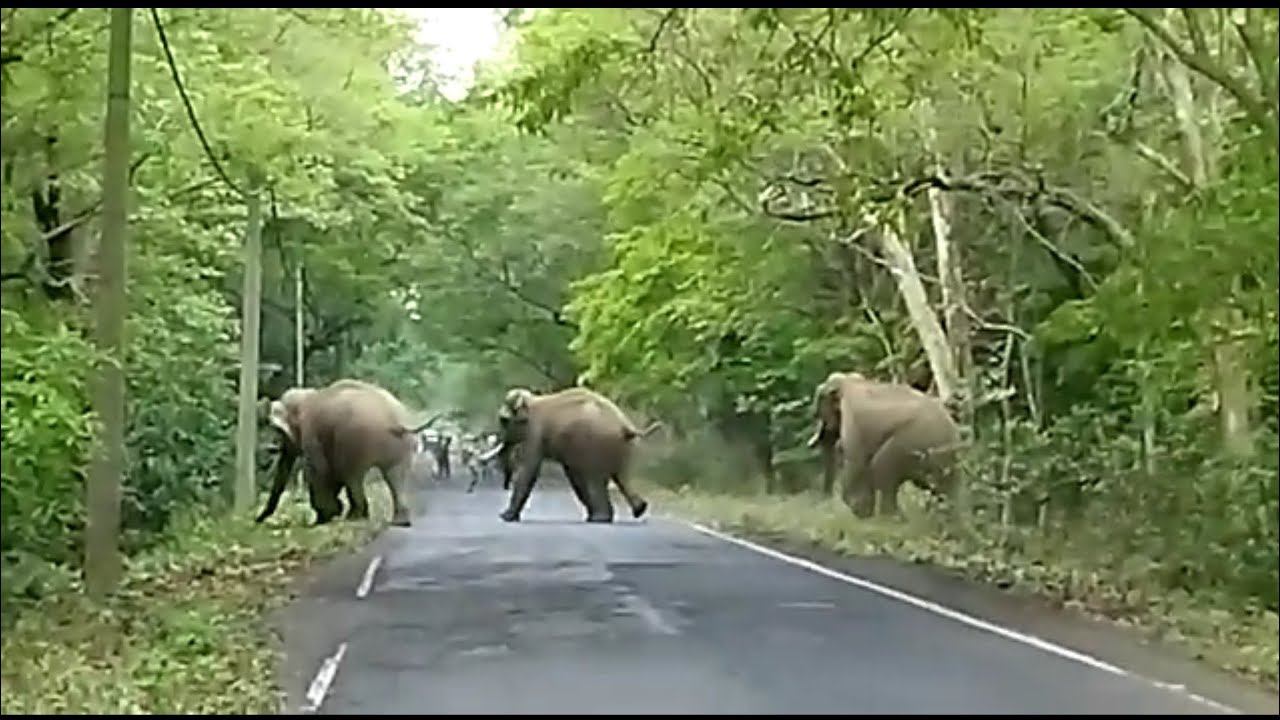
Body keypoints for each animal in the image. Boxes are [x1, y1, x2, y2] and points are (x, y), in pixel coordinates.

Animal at [254, 378, 439, 527]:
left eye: (280, 432)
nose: (257, 520)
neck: (307, 395)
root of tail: (397, 419)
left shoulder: (312, 433)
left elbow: (319, 470)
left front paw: (324, 518)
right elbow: (332, 474)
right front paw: (331, 513)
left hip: (358, 439)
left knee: (353, 475)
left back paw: (355, 517)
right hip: (402, 444)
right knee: (394, 477)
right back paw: (398, 522)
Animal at [479, 386, 659, 523]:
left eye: (503, 420)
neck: (531, 400)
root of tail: (626, 426)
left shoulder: (535, 432)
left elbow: (529, 469)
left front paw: (506, 517)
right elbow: (573, 474)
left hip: (599, 443)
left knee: (595, 478)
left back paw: (600, 519)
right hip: (622, 446)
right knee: (621, 476)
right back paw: (638, 510)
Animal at [806, 371, 961, 517]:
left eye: (817, 413)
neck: (848, 380)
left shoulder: (852, 418)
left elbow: (856, 459)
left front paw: (861, 511)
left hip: (913, 441)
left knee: (882, 469)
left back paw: (892, 519)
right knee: (941, 488)